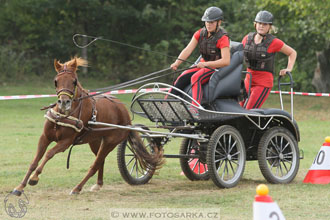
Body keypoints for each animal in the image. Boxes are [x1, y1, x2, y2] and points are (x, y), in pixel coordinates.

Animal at [13, 57, 164, 195]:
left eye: (74, 81)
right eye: (56, 81)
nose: (64, 102)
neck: (64, 114)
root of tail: (125, 114)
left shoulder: (65, 142)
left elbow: (49, 154)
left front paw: (34, 178)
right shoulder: (45, 137)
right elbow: (34, 161)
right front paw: (20, 187)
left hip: (110, 142)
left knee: (96, 164)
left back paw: (77, 188)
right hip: (95, 140)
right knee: (100, 161)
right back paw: (98, 184)